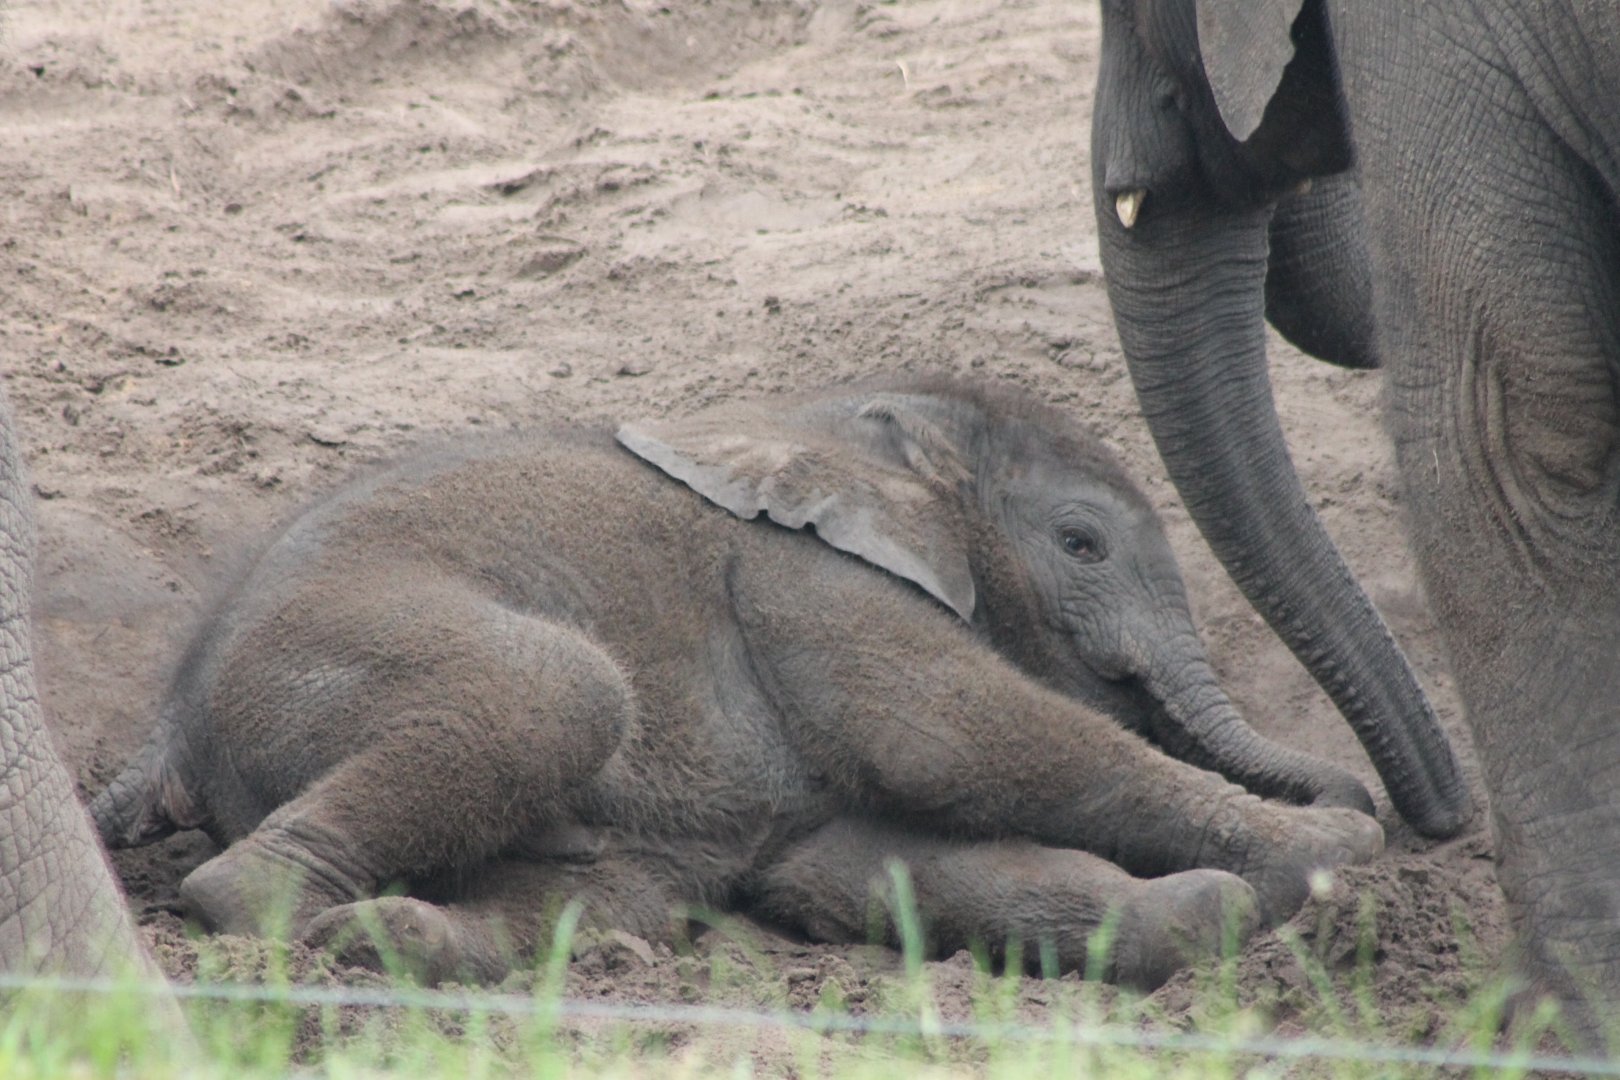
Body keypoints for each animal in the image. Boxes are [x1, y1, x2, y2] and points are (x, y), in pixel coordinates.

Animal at [91, 377, 1387, 991]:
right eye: (1082, 545)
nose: (1376, 793)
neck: (848, 419)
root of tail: (170, 730)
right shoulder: (800, 577)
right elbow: (954, 736)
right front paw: (1331, 853)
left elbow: (877, 861)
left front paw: (1218, 905)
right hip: (326, 658)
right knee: (559, 695)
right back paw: (273, 920)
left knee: (615, 892)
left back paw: (388, 943)